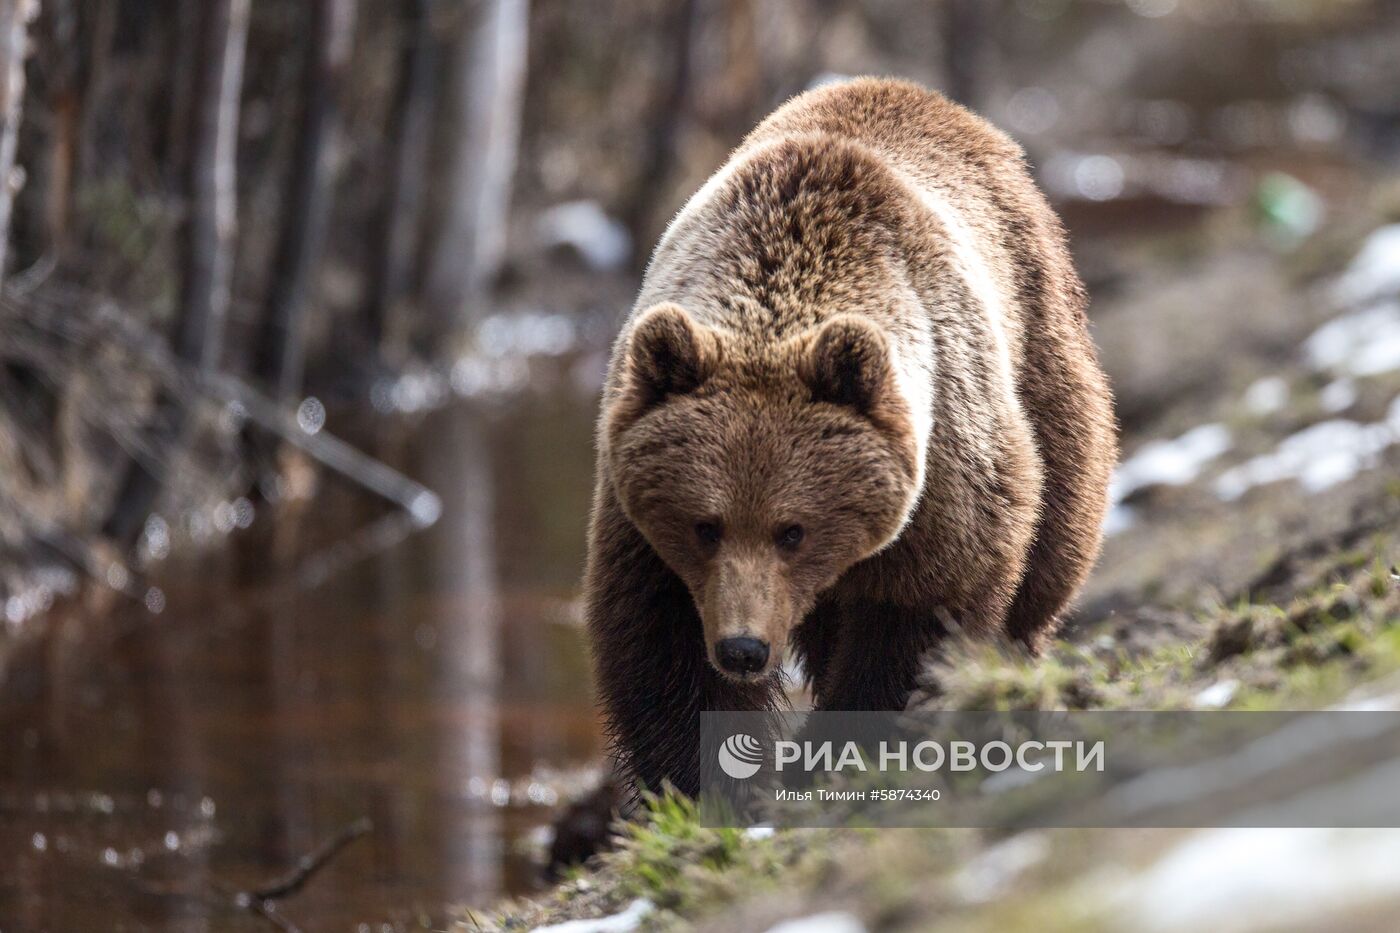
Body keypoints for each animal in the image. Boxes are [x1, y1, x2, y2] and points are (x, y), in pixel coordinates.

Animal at [585, 78, 1120, 790]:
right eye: (705, 525)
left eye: (792, 529)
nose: (744, 648)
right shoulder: (640, 516)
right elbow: (658, 644)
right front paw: (710, 784)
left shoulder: (944, 461)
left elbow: (919, 612)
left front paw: (848, 746)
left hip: (1041, 345)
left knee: (1055, 531)